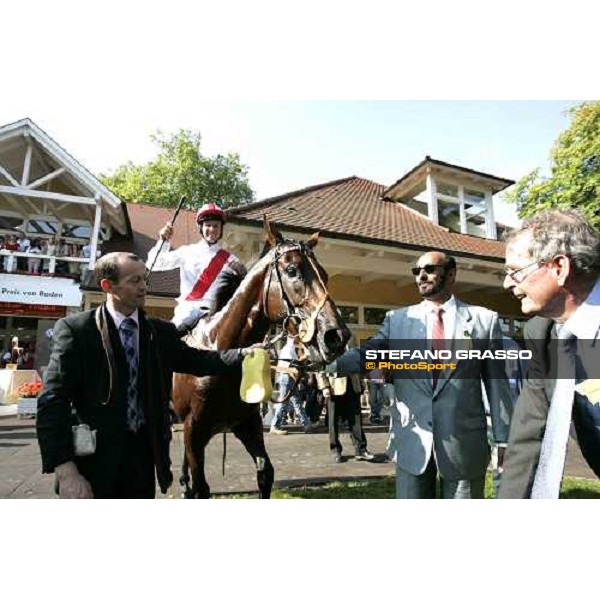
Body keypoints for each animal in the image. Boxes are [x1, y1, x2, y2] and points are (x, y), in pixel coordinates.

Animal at [171, 218, 350, 500]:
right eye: (292, 270)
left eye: (325, 274)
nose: (336, 335)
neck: (221, 354)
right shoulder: (194, 428)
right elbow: (201, 487)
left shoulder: (247, 424)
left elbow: (265, 473)